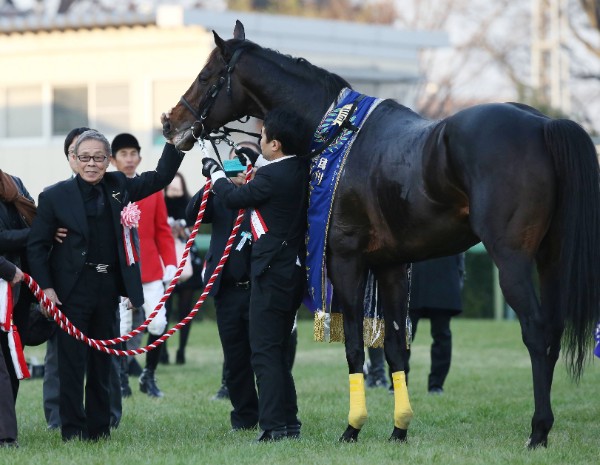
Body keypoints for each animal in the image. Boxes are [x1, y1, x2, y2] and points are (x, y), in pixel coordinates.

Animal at [163, 21, 600, 446]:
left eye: (206, 76)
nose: (170, 123)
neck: (335, 132)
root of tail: (545, 124)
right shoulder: (390, 266)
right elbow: (395, 349)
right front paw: (399, 429)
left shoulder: (346, 261)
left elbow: (355, 346)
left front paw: (352, 427)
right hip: (551, 258)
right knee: (553, 329)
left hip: (511, 259)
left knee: (536, 331)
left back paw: (538, 430)